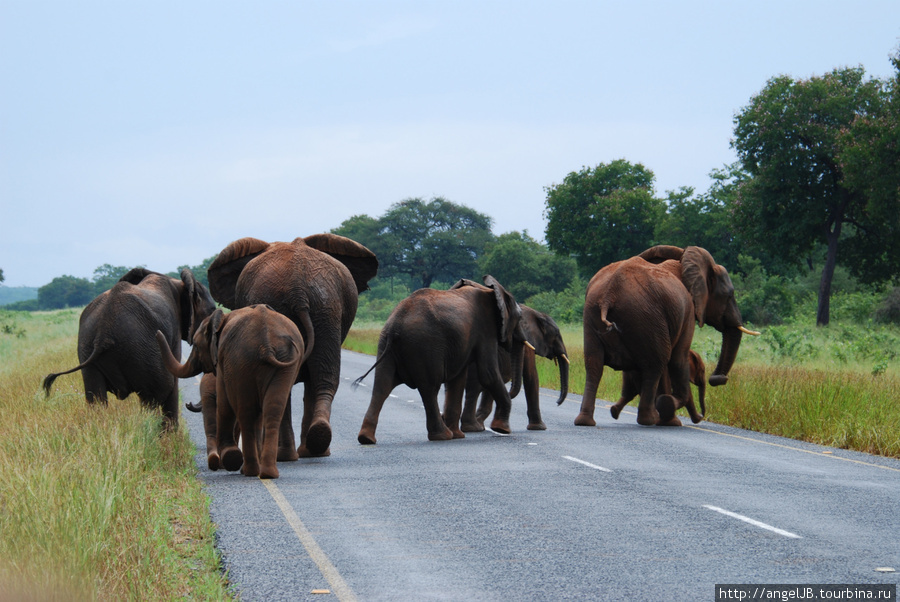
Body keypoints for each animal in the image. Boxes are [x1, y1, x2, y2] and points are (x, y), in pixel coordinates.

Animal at [43, 268, 216, 426]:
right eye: (213, 310)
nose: (189, 404)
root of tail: (104, 330)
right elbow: (172, 383)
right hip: (144, 348)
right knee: (154, 396)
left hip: (87, 345)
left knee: (97, 400)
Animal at [207, 232, 376, 458]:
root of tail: (298, 289)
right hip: (326, 309)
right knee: (323, 378)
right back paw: (314, 445)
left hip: (309, 306)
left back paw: (292, 454)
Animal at [356, 276, 532, 440]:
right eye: (519, 317)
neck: (489, 289)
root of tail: (396, 325)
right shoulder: (485, 329)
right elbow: (488, 374)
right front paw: (502, 430)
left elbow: (458, 379)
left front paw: (460, 435)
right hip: (425, 346)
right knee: (429, 389)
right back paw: (443, 436)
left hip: (386, 342)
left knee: (382, 386)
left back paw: (366, 438)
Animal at [460, 304, 568, 432]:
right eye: (556, 334)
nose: (557, 402)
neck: (536, 313)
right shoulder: (528, 343)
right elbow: (531, 376)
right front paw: (539, 428)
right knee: (475, 388)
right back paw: (475, 427)